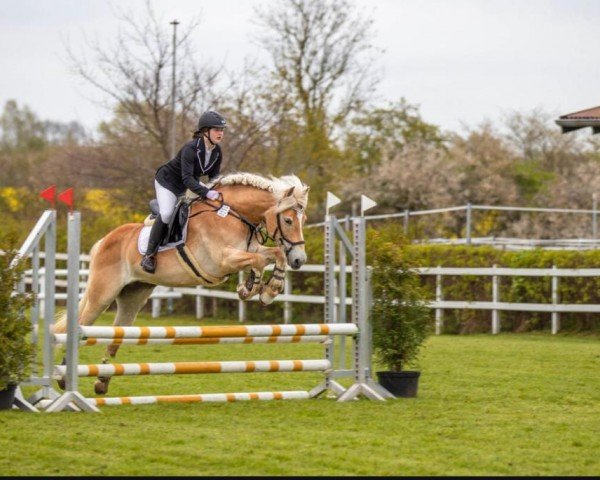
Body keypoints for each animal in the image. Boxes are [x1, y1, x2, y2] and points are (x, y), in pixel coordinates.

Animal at [52, 172, 310, 394]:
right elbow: (258, 260)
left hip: (133, 297)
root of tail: (104, 240)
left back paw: (102, 381)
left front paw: (265, 289)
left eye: (303, 220)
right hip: (102, 295)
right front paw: (254, 288)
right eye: (288, 220)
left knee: (116, 335)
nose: (299, 260)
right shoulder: (222, 260)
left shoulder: (249, 249)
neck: (232, 215)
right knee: (80, 325)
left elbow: (275, 253)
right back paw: (64, 377)